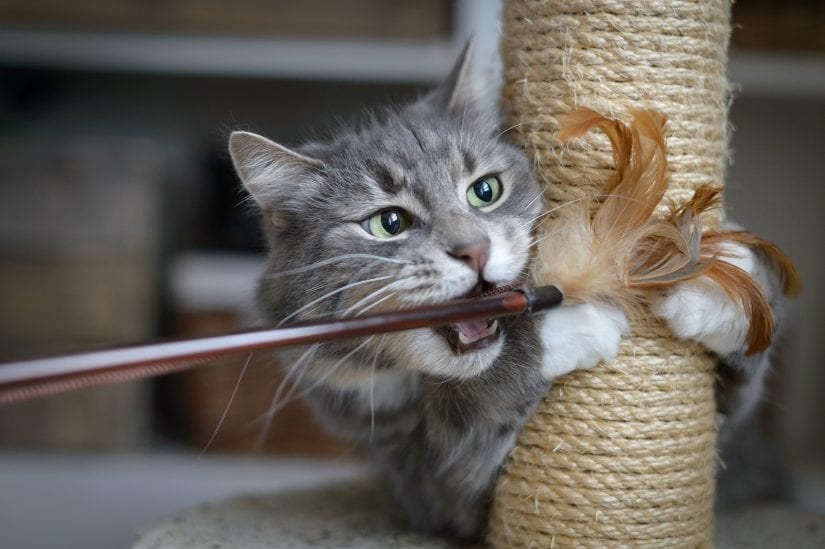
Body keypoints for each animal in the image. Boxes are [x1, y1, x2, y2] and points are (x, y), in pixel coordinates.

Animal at [229, 46, 788, 540]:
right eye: (388, 223)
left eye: (485, 191)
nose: (474, 250)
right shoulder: (433, 491)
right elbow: (474, 410)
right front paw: (567, 325)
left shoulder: (727, 432)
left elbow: (738, 391)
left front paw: (709, 283)